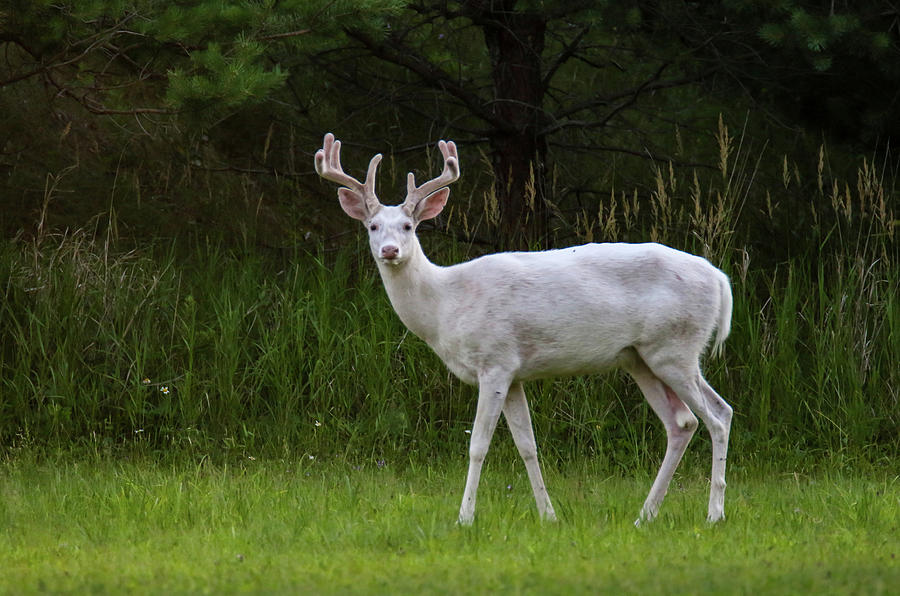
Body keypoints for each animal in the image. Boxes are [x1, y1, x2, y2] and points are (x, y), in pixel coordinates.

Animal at [312, 133, 736, 524]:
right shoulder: (515, 373)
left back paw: (714, 513)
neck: (446, 304)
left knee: (717, 415)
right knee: (683, 423)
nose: (390, 250)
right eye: (372, 226)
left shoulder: (495, 361)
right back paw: (644, 515)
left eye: (408, 226)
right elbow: (527, 445)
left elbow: (478, 445)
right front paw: (549, 515)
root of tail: (719, 279)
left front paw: (465, 517)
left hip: (676, 347)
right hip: (640, 358)